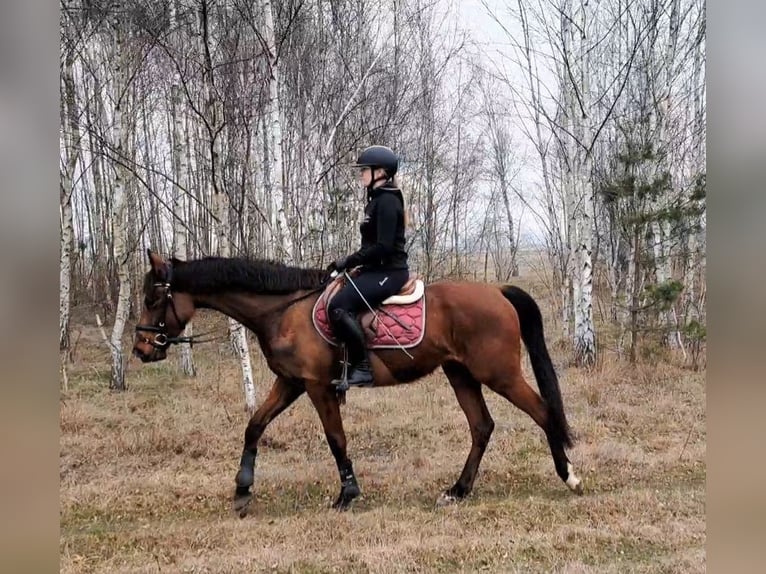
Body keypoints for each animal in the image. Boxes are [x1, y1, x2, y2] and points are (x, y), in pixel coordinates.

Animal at [135, 251, 584, 516]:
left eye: (153, 300)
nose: (141, 349)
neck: (283, 311)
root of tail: (497, 291)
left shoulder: (317, 386)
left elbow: (336, 438)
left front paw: (347, 494)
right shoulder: (290, 382)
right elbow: (255, 425)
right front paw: (243, 490)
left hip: (499, 374)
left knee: (543, 412)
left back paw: (569, 477)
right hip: (461, 374)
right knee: (481, 426)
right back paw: (458, 491)